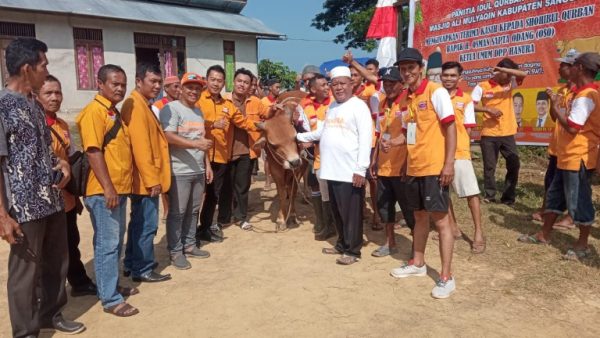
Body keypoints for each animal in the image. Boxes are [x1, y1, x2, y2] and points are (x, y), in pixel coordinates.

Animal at [254, 99, 308, 231]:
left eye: (295, 137)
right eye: (273, 145)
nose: (294, 162)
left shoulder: (297, 171)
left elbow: (293, 192)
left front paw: (292, 216)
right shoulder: (276, 171)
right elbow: (282, 194)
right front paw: (281, 219)